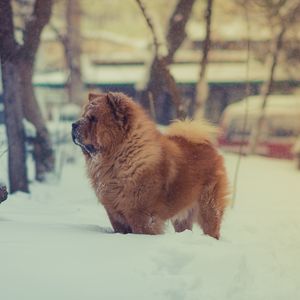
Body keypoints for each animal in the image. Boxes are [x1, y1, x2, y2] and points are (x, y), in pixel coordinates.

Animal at [71, 91, 229, 239]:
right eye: (83, 116)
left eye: (93, 119)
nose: (73, 124)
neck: (116, 158)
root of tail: (209, 148)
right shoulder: (114, 213)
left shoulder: (141, 214)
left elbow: (141, 231)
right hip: (183, 216)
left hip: (208, 207)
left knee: (212, 228)